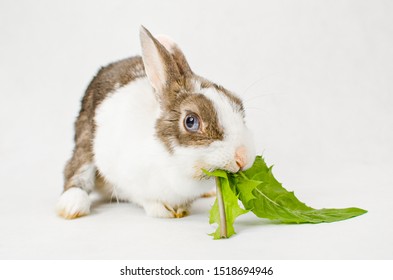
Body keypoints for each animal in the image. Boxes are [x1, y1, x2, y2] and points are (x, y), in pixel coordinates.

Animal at [56, 26, 256, 219]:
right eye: (191, 121)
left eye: (239, 106)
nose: (243, 157)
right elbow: (144, 198)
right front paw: (164, 210)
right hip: (86, 136)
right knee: (76, 169)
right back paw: (72, 207)